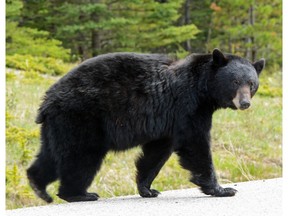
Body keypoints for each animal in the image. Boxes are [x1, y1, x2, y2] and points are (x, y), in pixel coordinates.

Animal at [27, 48, 266, 202]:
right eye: (235, 82)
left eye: (252, 83)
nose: (245, 102)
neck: (203, 89)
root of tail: (47, 101)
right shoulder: (187, 106)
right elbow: (195, 144)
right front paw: (222, 189)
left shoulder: (167, 121)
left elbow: (156, 152)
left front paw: (147, 188)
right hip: (81, 117)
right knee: (80, 156)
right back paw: (79, 194)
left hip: (58, 125)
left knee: (51, 155)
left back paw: (39, 186)